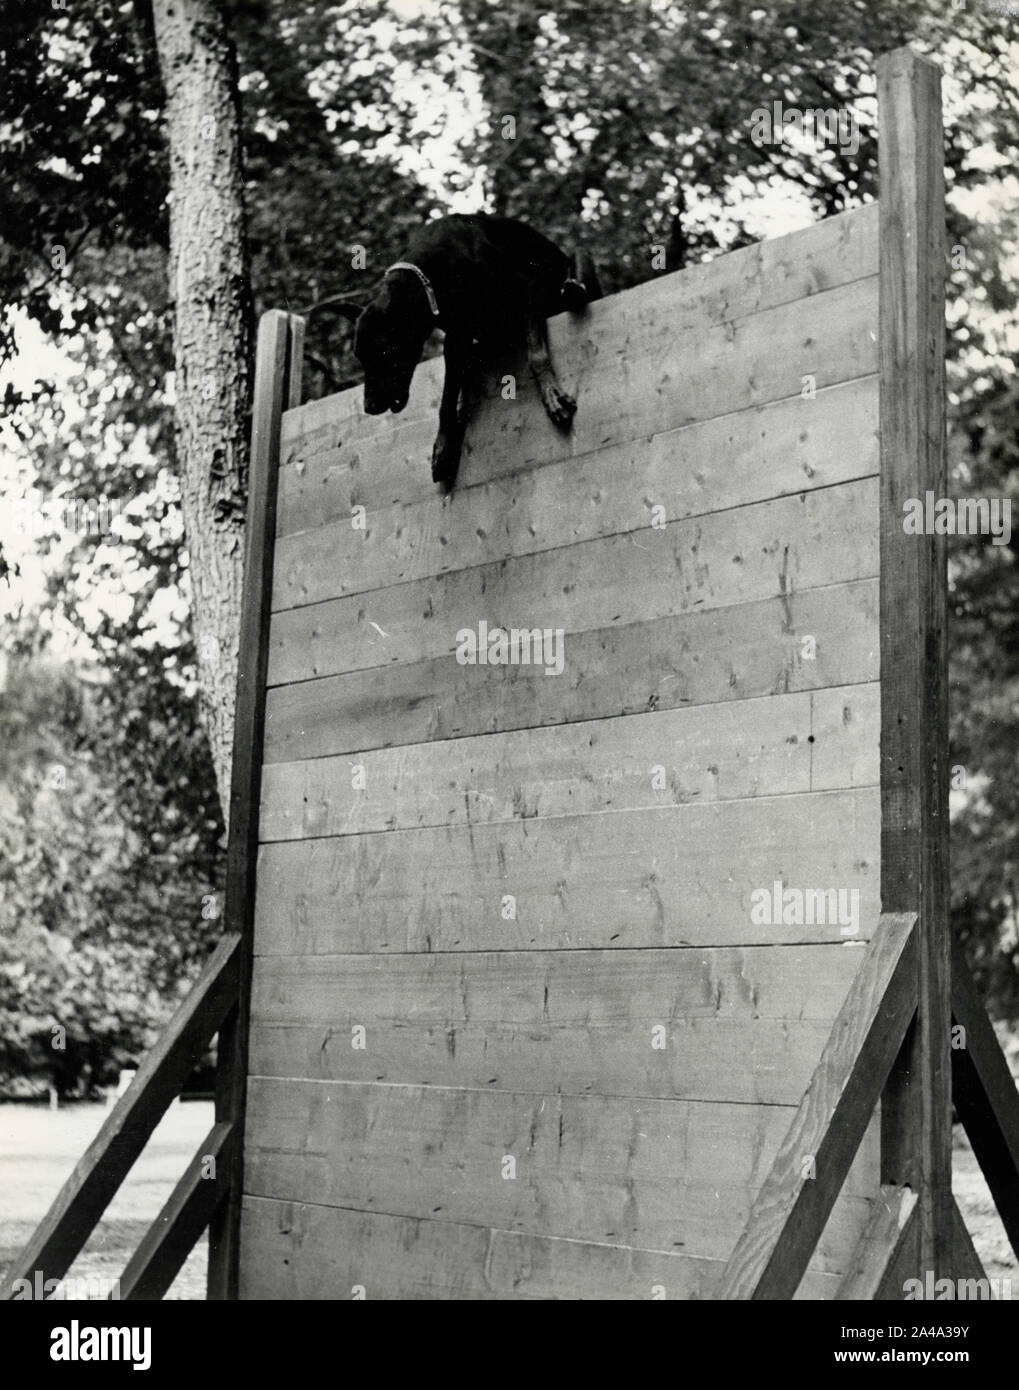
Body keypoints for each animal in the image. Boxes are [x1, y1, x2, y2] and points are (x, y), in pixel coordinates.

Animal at [328, 214, 594, 492]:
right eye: (360, 358)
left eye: (384, 353)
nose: (369, 407)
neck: (431, 274)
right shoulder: (457, 337)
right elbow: (446, 400)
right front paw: (443, 449)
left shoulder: (527, 285)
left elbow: (536, 354)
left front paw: (552, 393)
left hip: (578, 255)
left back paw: (574, 289)